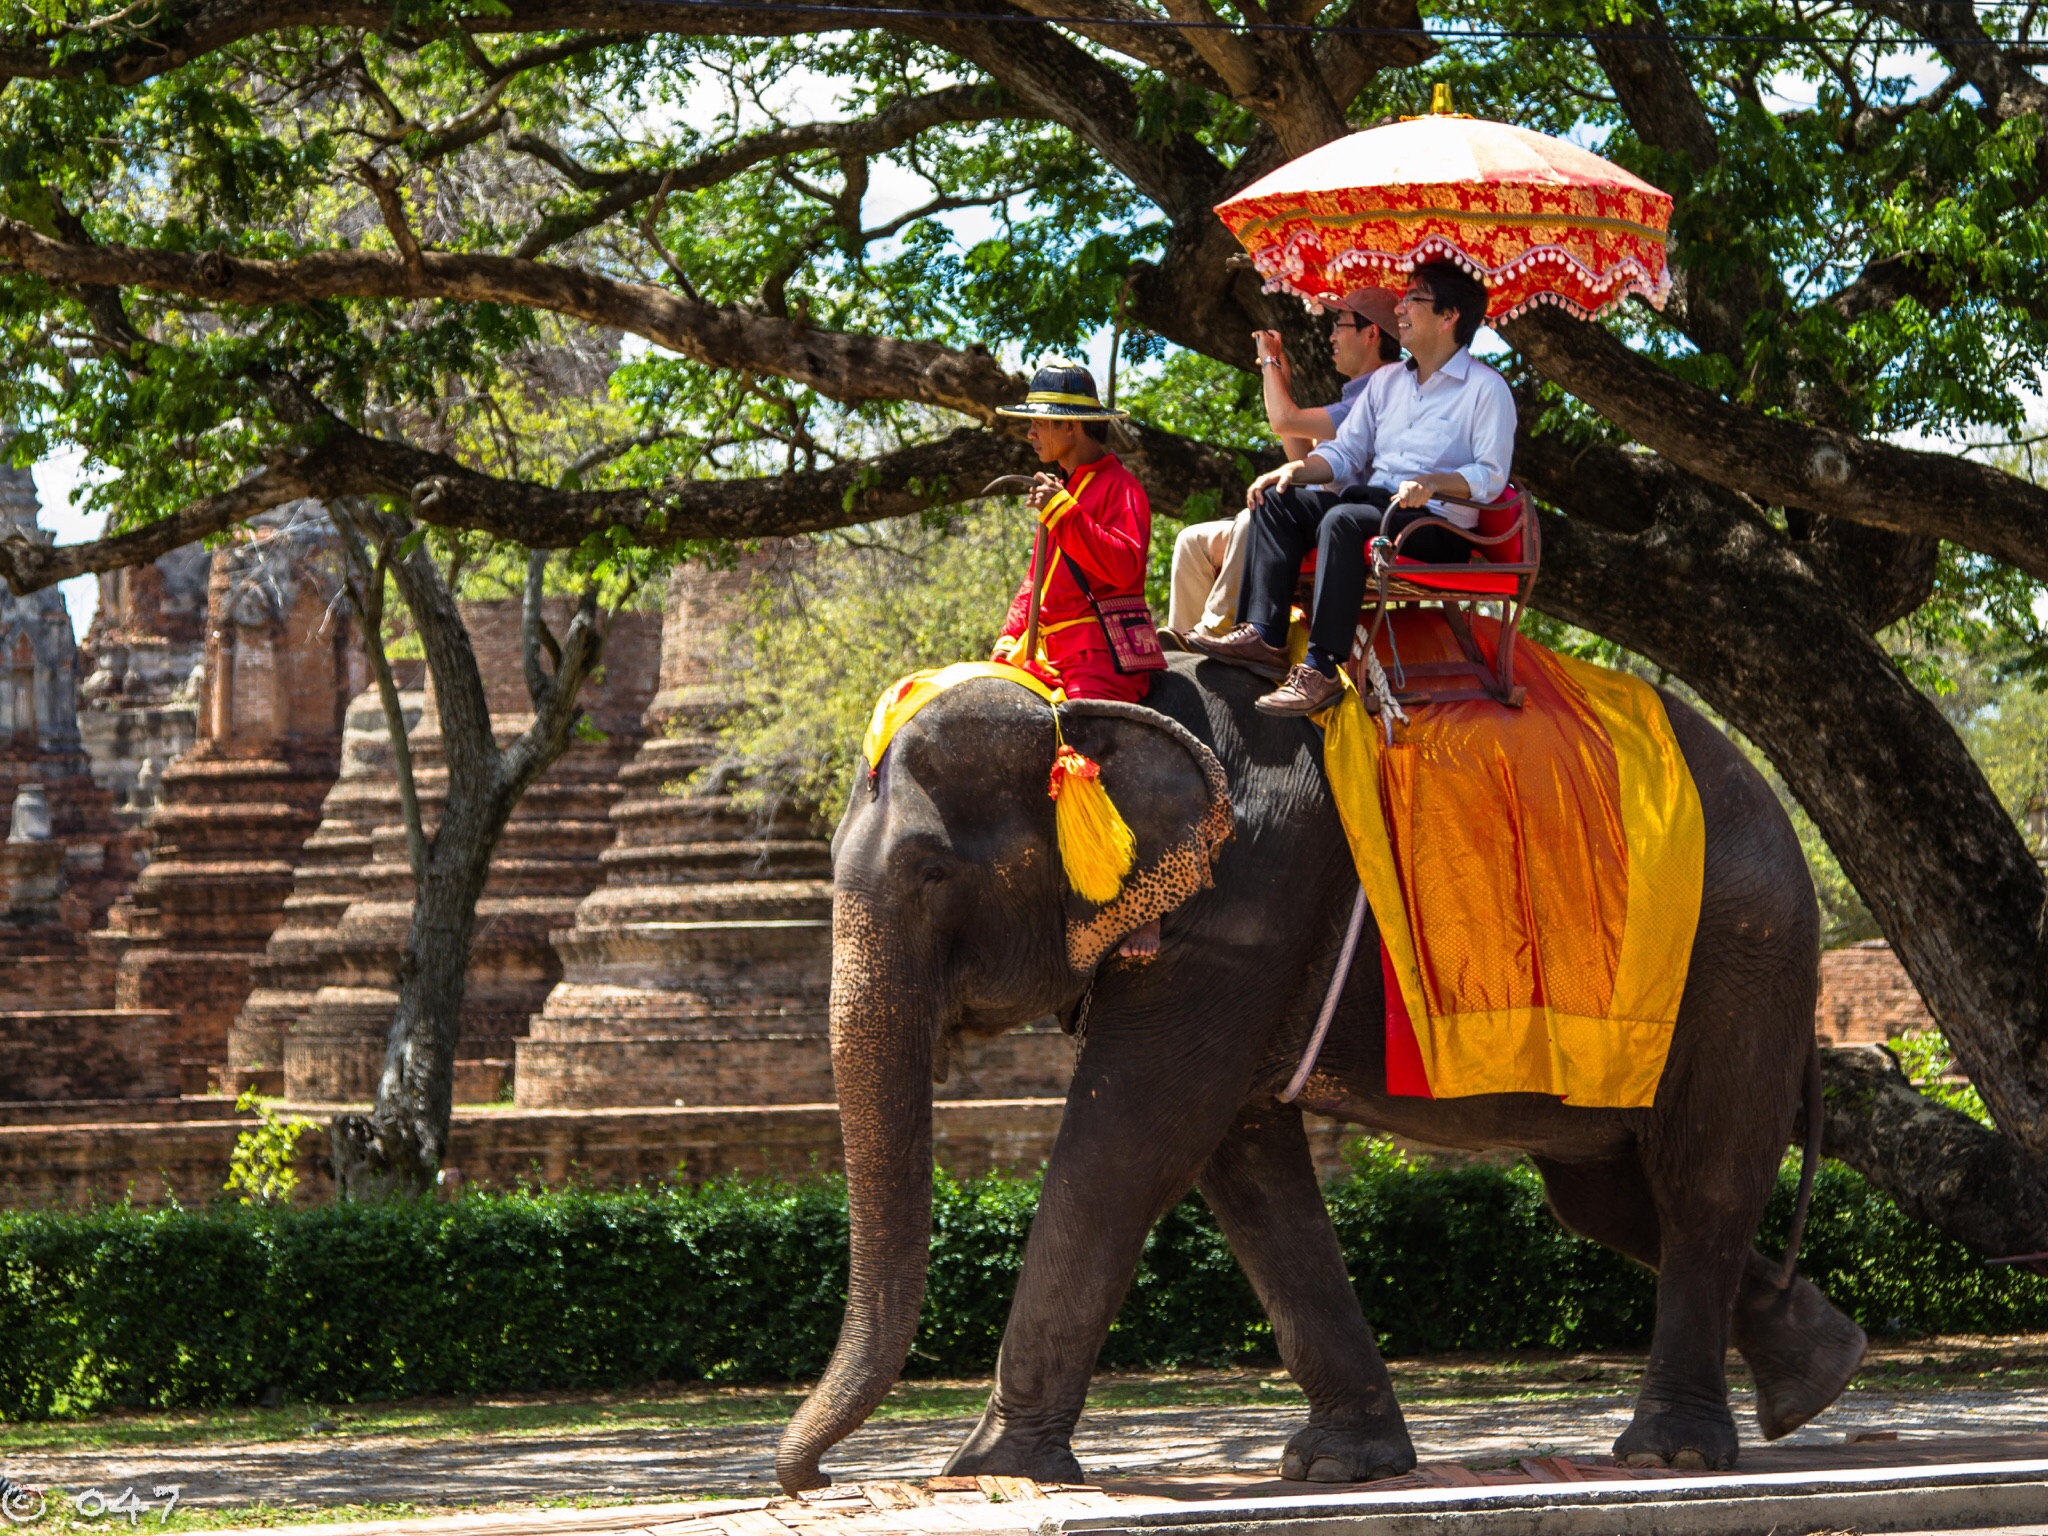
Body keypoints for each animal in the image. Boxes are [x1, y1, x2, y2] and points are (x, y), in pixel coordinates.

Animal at [775, 656, 1868, 1495]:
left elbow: (1130, 1147)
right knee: (1602, 1197)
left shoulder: (1247, 904)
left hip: (1739, 956)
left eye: (930, 873)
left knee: (1701, 1177)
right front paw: (1343, 1466)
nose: (812, 1478)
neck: (1104, 703)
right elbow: (1240, 1164)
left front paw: (987, 1471)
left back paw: (1671, 1452)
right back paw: (1816, 1376)